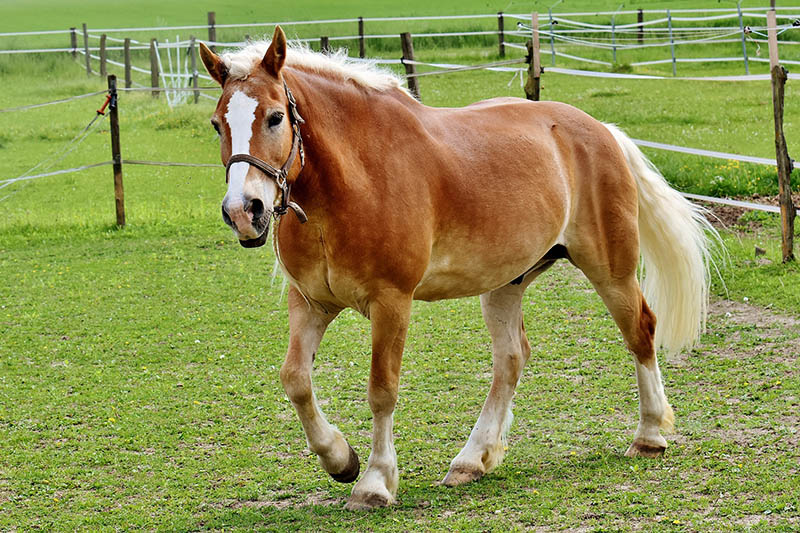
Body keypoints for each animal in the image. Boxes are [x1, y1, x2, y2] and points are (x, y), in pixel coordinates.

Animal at [200, 27, 712, 510]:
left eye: (275, 116)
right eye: (216, 124)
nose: (244, 211)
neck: (349, 182)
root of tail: (602, 130)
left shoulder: (392, 302)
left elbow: (382, 389)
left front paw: (375, 482)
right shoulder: (311, 303)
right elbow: (295, 380)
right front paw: (340, 459)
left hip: (611, 269)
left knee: (640, 330)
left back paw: (649, 435)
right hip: (506, 282)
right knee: (511, 360)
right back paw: (473, 459)